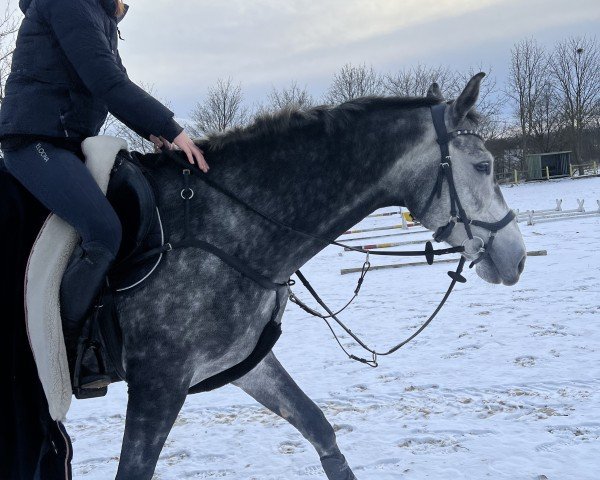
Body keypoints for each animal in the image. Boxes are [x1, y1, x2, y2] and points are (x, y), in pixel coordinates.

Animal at [112, 73, 524, 478]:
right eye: (483, 166)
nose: (517, 257)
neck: (218, 230)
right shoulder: (159, 384)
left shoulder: (240, 361)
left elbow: (318, 427)